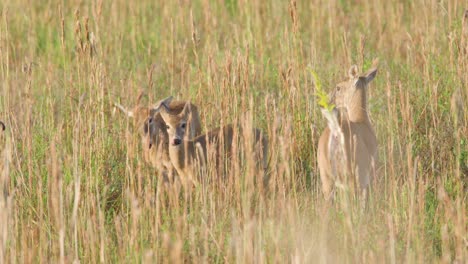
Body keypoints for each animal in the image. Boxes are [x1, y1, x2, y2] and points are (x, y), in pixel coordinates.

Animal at [316, 63, 378, 202]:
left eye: (338, 87)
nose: (324, 103)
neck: (362, 119)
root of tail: (335, 129)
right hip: (351, 172)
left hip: (325, 173)